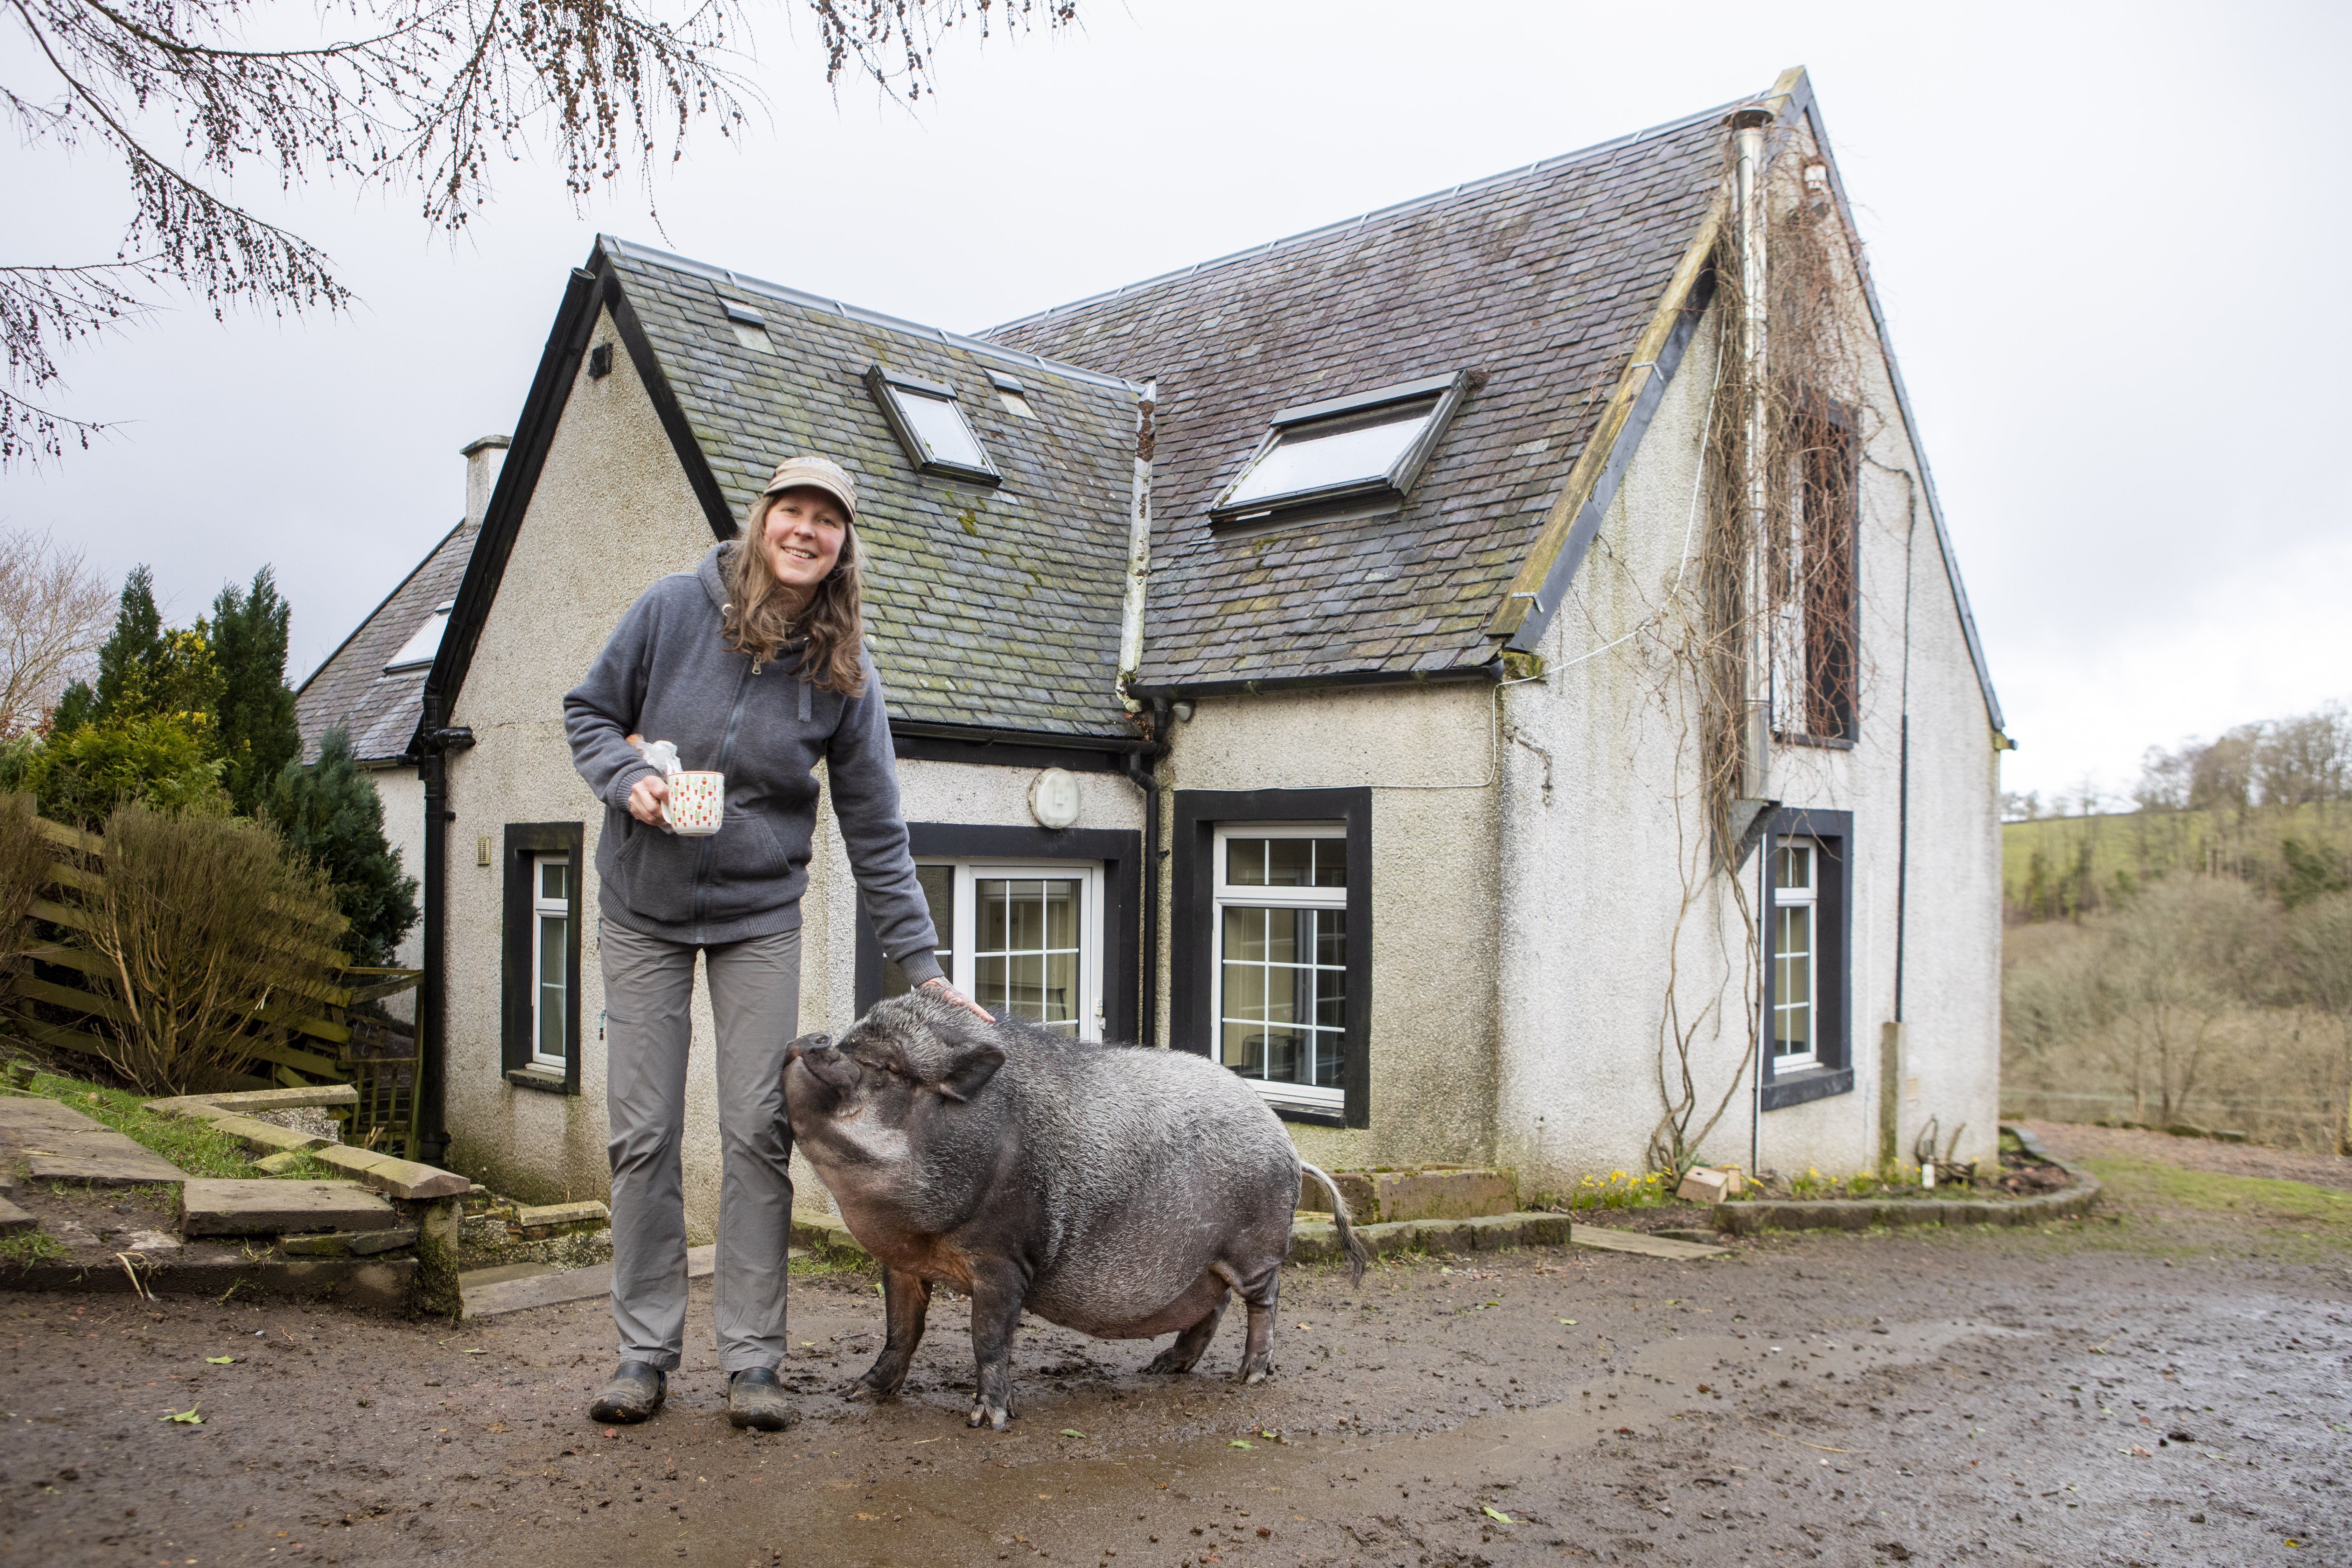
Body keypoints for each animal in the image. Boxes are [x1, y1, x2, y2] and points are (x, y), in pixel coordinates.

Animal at [781, 1001, 1373, 1429]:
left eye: (889, 1068)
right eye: (849, 1041)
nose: (812, 1039)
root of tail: (1289, 1144)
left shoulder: (1004, 1260)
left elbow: (988, 1337)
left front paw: (986, 1421)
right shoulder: (902, 1265)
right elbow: (901, 1330)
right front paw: (860, 1392)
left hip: (1256, 1246)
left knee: (1264, 1300)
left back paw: (1249, 1377)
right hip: (1203, 1261)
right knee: (1214, 1306)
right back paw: (1163, 1367)